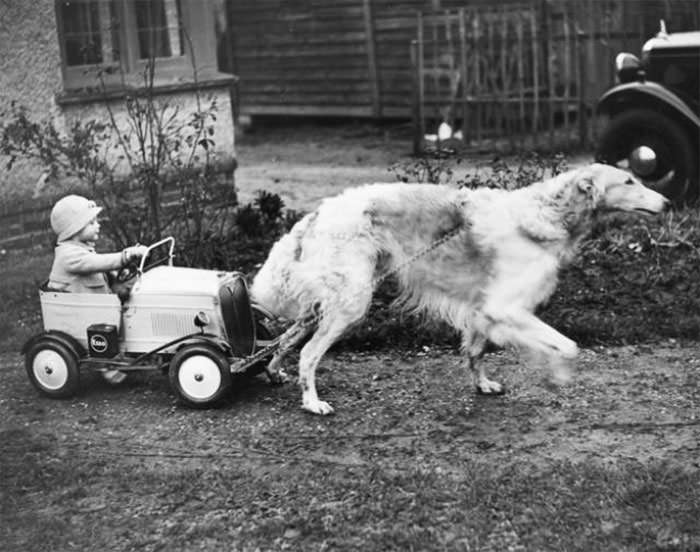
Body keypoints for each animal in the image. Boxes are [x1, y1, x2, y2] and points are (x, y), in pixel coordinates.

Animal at [250, 164, 668, 414]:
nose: (667, 201)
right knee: (307, 354)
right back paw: (312, 403)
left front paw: (483, 385)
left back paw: (273, 372)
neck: (545, 215)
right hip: (351, 304)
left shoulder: (484, 310)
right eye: (629, 182)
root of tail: (319, 212)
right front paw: (556, 378)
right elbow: (568, 346)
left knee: (283, 341)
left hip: (329, 303)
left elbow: (475, 352)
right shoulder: (506, 308)